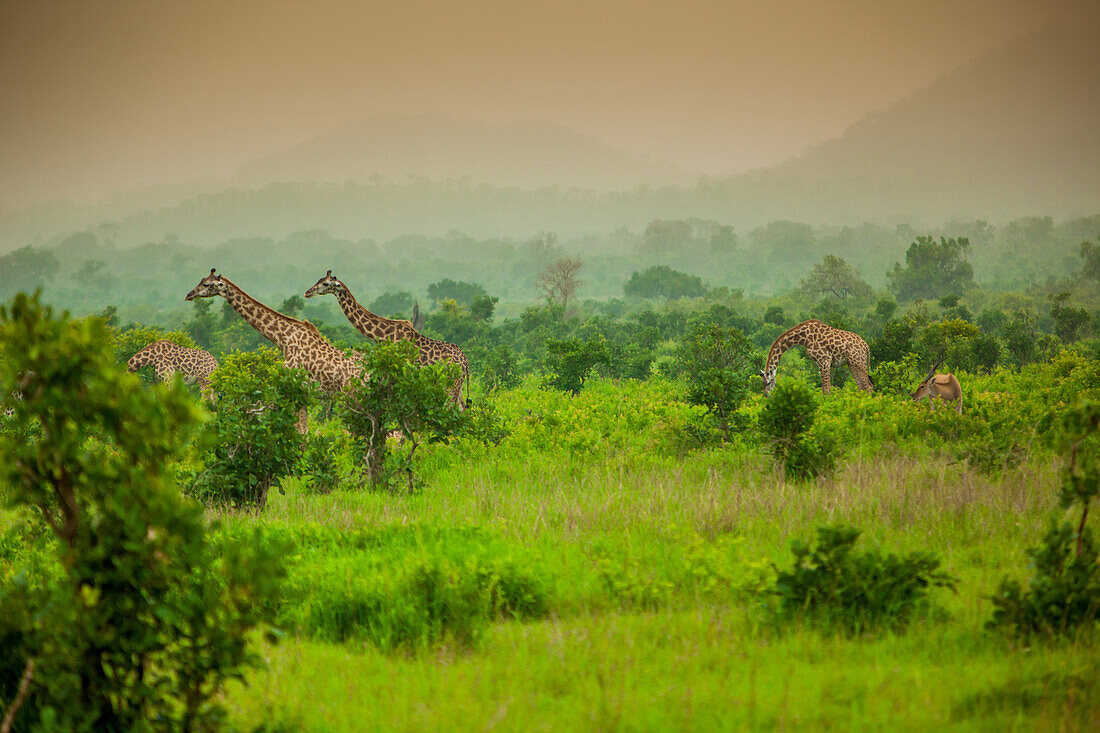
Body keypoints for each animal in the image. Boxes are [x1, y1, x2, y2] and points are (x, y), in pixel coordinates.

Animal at [184, 268, 360, 431]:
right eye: (201, 280)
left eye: (206, 284)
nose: (188, 295)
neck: (284, 339)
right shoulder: (300, 393)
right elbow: (303, 430)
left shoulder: (293, 388)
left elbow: (301, 431)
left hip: (350, 397)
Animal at [303, 268, 470, 407]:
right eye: (318, 279)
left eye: (325, 283)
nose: (307, 292)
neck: (384, 335)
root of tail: (466, 363)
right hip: (459, 384)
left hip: (451, 383)